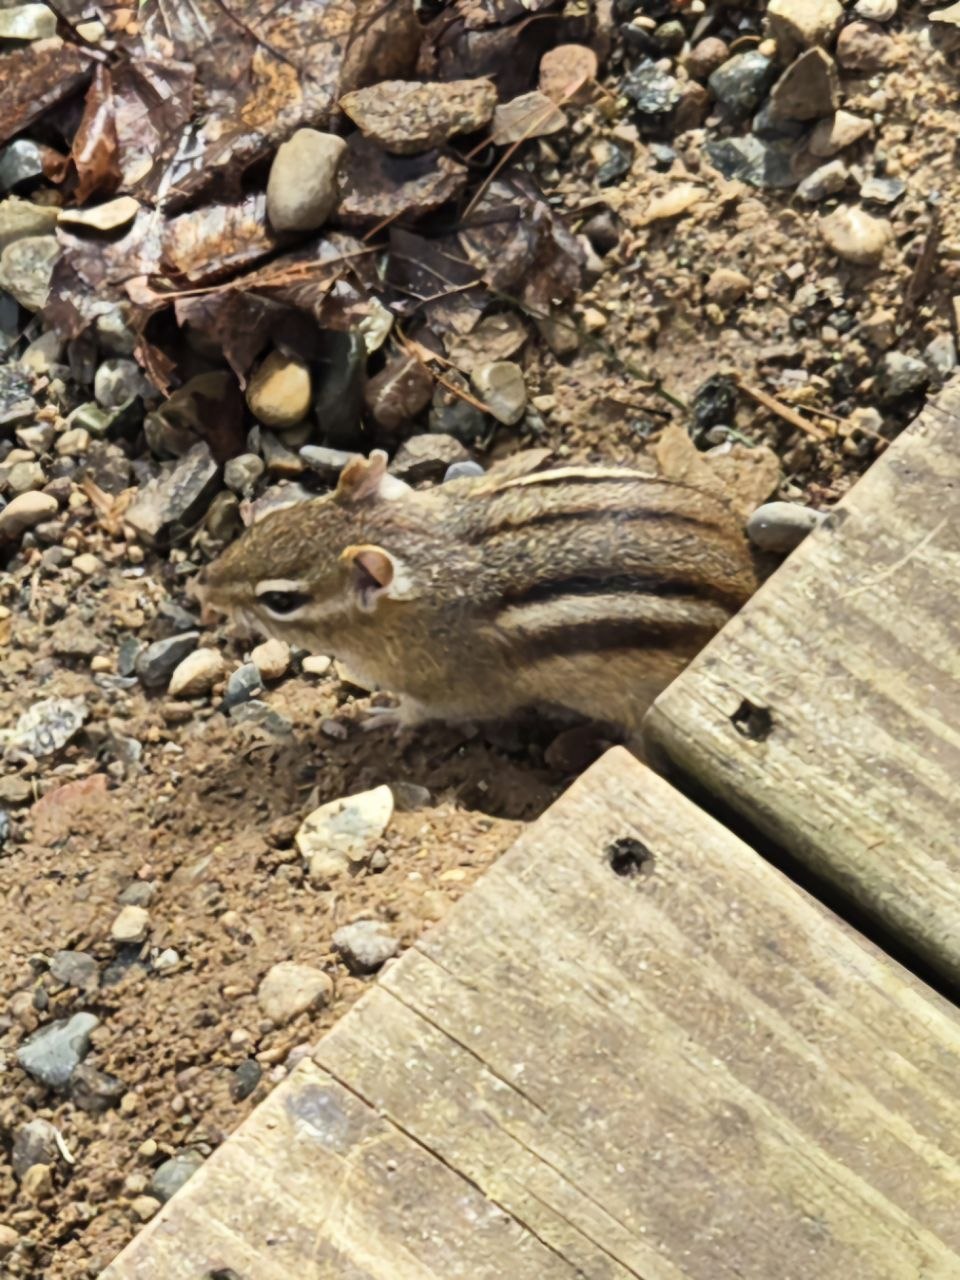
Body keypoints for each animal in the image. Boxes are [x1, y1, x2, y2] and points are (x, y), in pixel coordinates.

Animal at [193, 449, 757, 741]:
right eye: (275, 521)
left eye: (281, 600)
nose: (203, 583)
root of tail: (746, 581)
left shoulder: (451, 688)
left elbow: (423, 711)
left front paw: (386, 715)